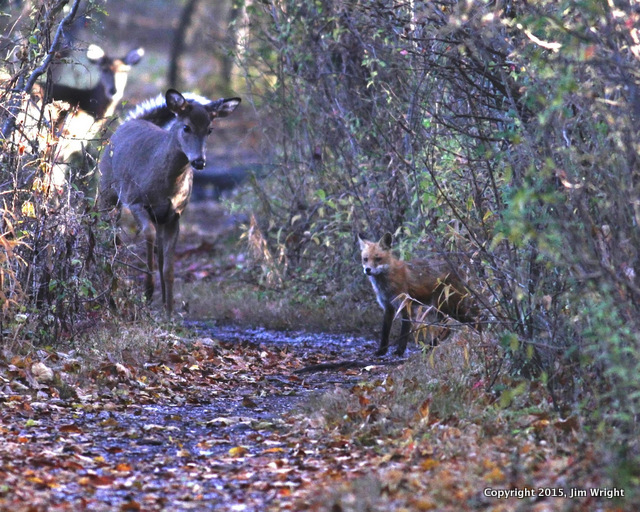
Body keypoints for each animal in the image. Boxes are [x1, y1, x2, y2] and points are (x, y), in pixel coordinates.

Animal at [98, 89, 241, 314]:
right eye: (186, 127)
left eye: (209, 129)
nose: (199, 161)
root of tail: (130, 122)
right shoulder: (136, 201)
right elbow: (147, 236)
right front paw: (148, 291)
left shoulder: (174, 215)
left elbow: (169, 268)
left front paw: (169, 310)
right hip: (107, 191)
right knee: (107, 230)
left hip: (157, 216)